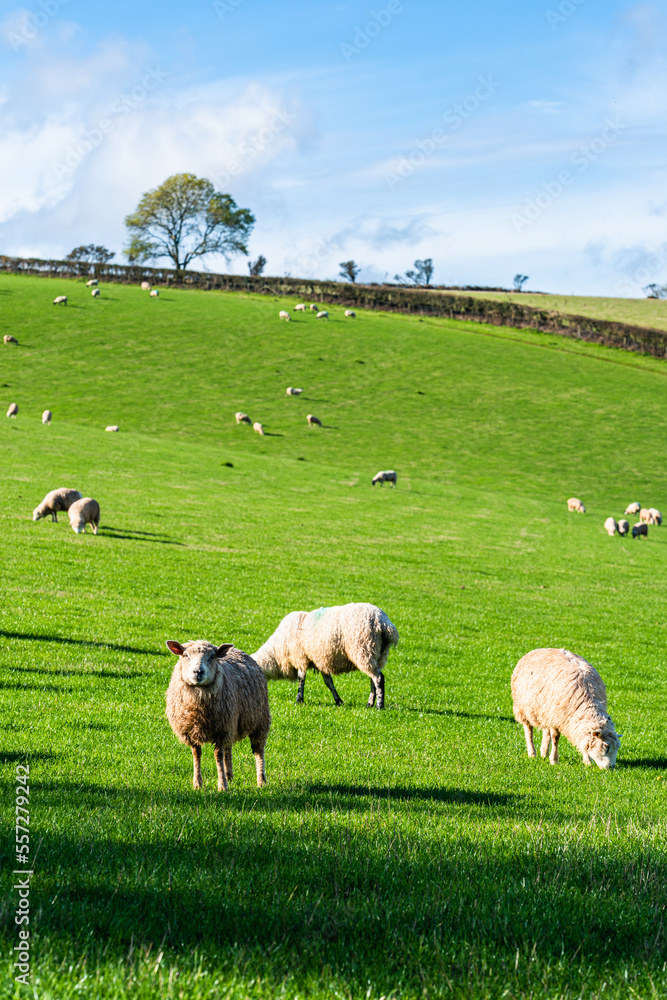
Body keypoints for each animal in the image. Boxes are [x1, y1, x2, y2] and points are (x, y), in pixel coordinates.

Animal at [165, 640, 270, 791]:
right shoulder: (191, 731)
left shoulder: (221, 730)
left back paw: (261, 781)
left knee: (259, 750)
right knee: (229, 747)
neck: (199, 709)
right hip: (232, 723)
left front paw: (222, 785)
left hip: (260, 720)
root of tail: (236, 650)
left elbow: (217, 755)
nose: (198, 672)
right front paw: (197, 783)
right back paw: (230, 775)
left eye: (212, 657)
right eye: (185, 655)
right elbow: (196, 754)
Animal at [252, 602, 399, 709]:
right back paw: (370, 704)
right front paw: (338, 701)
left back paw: (379, 705)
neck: (277, 651)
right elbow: (329, 683)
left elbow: (301, 679)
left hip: (364, 649)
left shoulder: (301, 658)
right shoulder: (320, 661)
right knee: (373, 679)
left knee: (378, 678)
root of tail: (384, 623)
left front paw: (299, 700)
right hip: (377, 654)